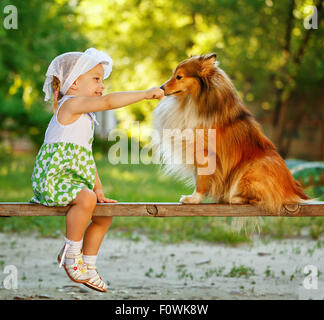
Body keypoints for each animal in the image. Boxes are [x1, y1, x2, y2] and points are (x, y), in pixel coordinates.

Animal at [153, 53, 310, 215]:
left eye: (179, 77)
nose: (161, 88)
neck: (193, 101)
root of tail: (297, 192)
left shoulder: (206, 153)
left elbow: (201, 180)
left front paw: (193, 199)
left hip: (252, 168)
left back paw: (234, 197)